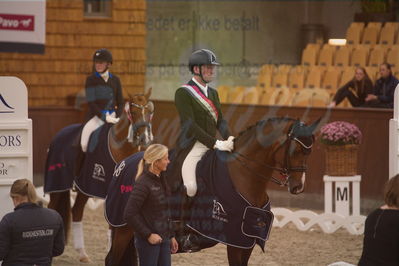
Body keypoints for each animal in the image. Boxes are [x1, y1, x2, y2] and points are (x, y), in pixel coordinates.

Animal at [44, 89, 155, 262]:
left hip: (84, 188)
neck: (121, 146)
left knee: (76, 211)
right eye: (134, 112)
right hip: (57, 184)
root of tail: (59, 134)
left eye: (149, 111)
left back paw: (83, 254)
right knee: (52, 208)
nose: (145, 138)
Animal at [104, 116, 320, 266]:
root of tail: (123, 164)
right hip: (123, 227)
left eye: (309, 152)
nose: (298, 187)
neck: (243, 175)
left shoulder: (247, 240)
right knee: (112, 259)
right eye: (297, 151)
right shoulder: (235, 240)